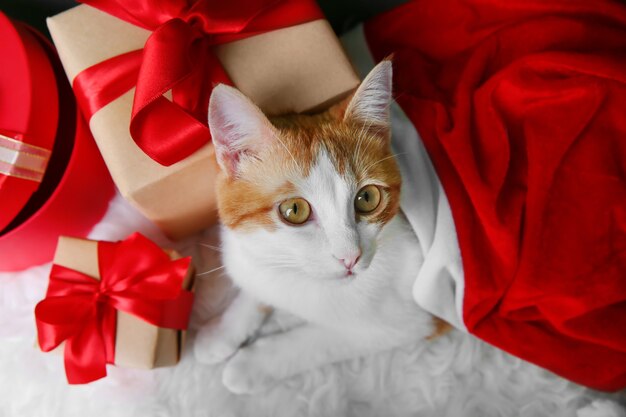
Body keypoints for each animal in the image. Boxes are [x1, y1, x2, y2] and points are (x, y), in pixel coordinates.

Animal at [193, 61, 442, 394]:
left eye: (367, 198)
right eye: (294, 210)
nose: (350, 257)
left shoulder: (419, 317)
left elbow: (322, 340)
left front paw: (250, 365)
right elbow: (256, 282)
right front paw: (222, 332)